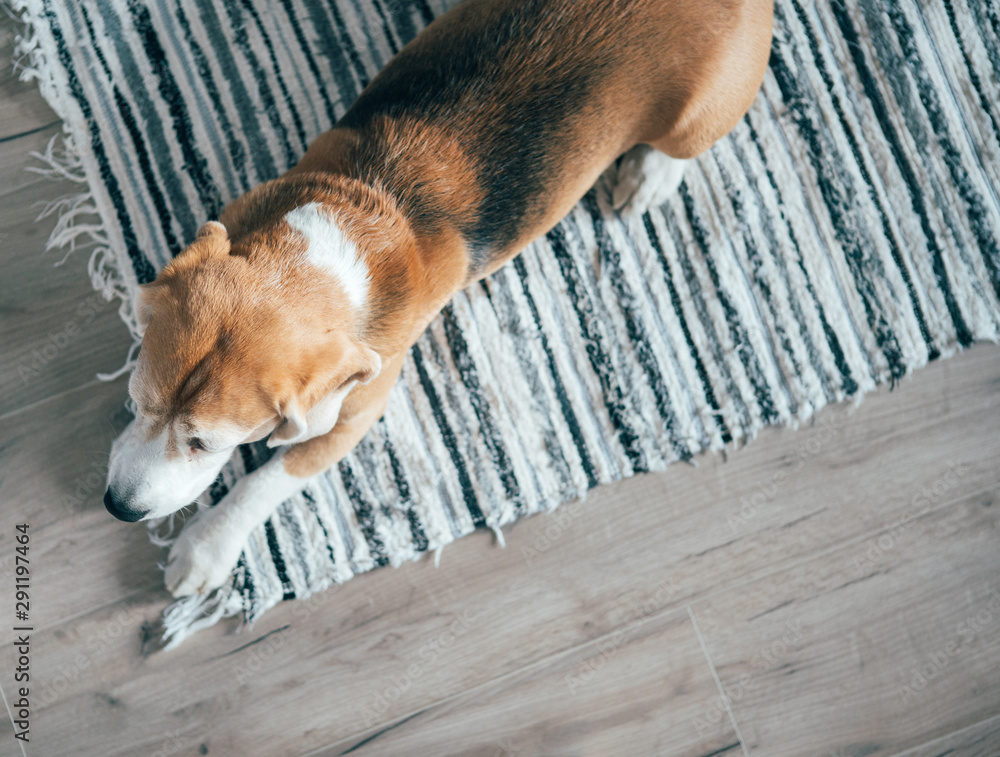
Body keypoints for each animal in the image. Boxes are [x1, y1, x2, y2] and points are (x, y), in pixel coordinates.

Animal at [105, 0, 772, 596]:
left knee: (681, 146)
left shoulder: (357, 412)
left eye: (204, 443)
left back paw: (651, 175)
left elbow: (268, 481)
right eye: (137, 402)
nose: (117, 507)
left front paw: (207, 547)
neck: (344, 235)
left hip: (698, 118)